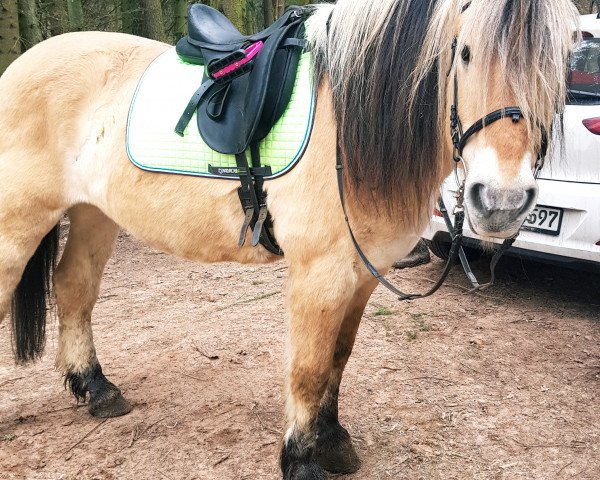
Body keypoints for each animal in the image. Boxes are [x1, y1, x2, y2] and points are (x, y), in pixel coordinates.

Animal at [0, 0, 576, 478]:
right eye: (465, 52)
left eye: (562, 62)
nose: (500, 200)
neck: (350, 128)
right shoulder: (319, 272)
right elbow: (308, 367)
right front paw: (300, 461)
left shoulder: (362, 275)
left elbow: (338, 358)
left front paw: (334, 441)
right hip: (19, 223)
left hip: (94, 214)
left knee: (74, 288)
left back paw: (96, 389)